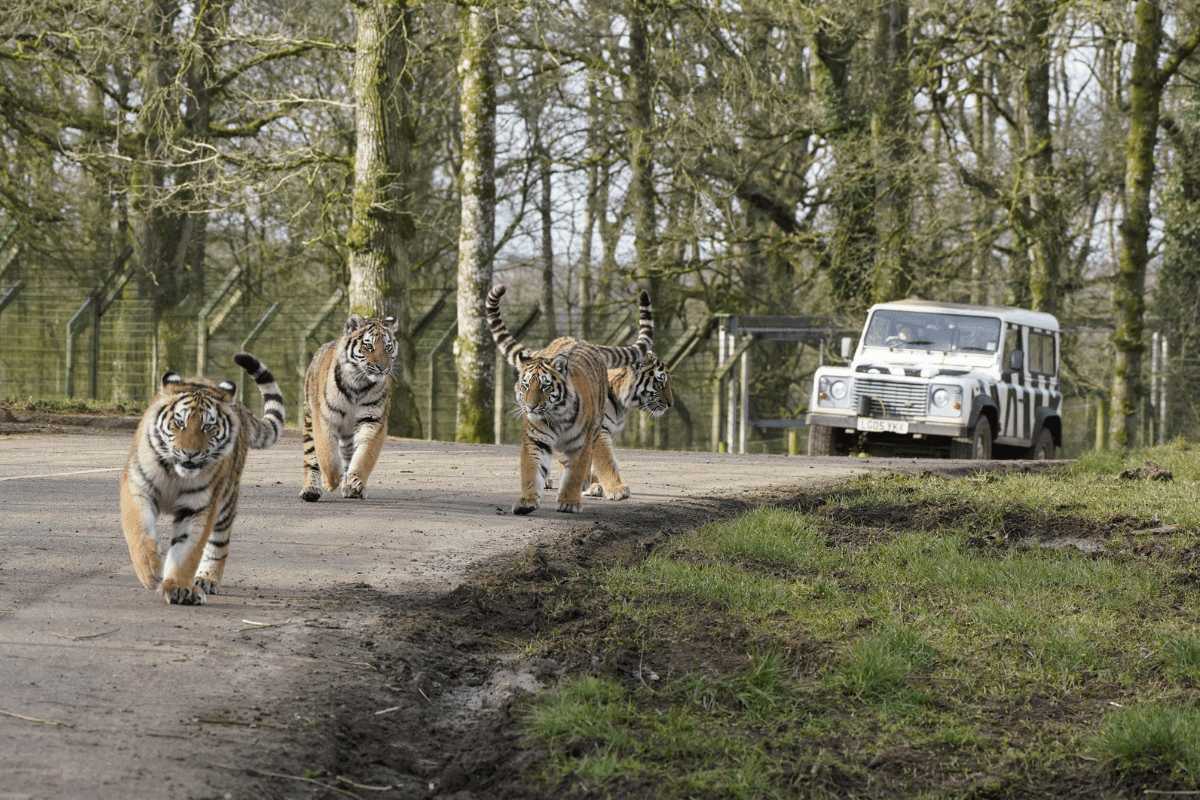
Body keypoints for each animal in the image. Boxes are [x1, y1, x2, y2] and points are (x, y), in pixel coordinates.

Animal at [119, 352, 285, 605]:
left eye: (208, 426)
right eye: (179, 423)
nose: (190, 453)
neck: (175, 474)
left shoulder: (200, 506)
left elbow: (188, 550)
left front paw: (179, 586)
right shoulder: (137, 487)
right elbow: (138, 529)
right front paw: (149, 570)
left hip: (227, 501)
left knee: (219, 544)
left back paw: (207, 578)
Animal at [300, 312, 398, 502]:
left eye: (388, 347)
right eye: (368, 346)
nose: (383, 368)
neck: (358, 385)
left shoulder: (372, 420)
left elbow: (365, 454)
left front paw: (356, 482)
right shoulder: (324, 418)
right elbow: (327, 453)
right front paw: (331, 481)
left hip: (348, 433)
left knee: (348, 455)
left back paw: (349, 487)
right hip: (309, 420)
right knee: (311, 459)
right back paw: (311, 489)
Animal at [486, 283, 653, 514]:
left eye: (545, 386)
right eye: (526, 385)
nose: (530, 407)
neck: (555, 415)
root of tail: (586, 342)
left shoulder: (581, 442)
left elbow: (575, 472)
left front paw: (569, 502)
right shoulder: (535, 440)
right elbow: (531, 470)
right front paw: (527, 500)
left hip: (595, 432)